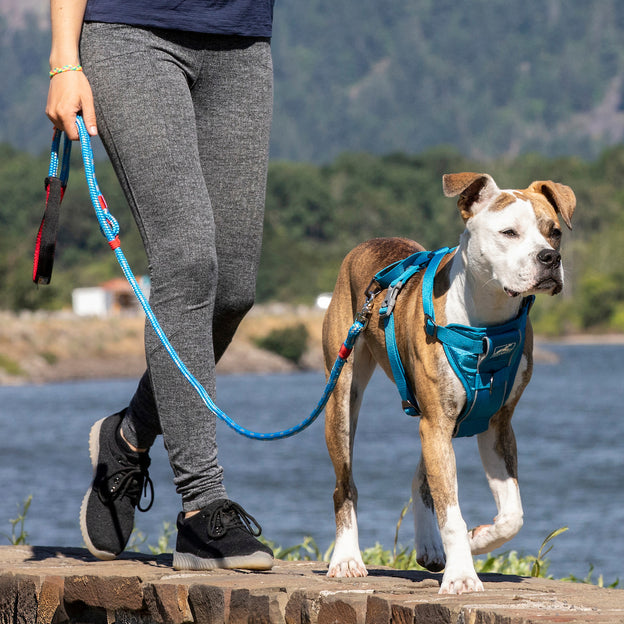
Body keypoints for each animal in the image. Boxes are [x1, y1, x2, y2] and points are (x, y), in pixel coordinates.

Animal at [322, 172, 576, 596]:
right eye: (509, 232)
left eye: (554, 232)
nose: (549, 259)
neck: (487, 321)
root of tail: (370, 243)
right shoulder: (438, 420)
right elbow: (452, 512)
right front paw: (461, 576)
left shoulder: (495, 424)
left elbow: (513, 514)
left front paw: (478, 539)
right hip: (343, 395)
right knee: (345, 483)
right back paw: (346, 559)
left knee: (422, 479)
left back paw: (429, 546)